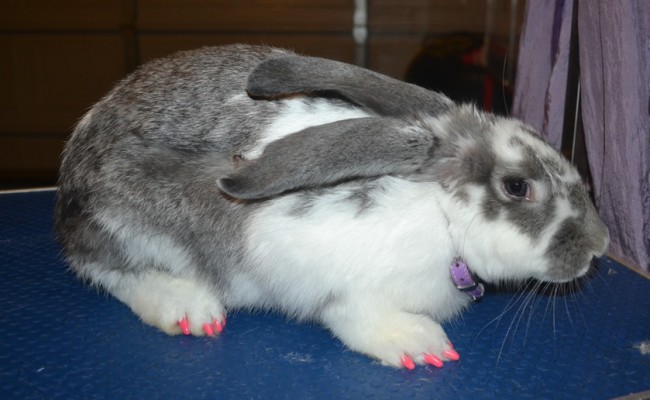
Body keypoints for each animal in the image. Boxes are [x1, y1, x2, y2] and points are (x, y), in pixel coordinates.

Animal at [55, 44, 610, 369]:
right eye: (517, 187)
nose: (600, 245)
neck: (443, 218)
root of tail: (70, 181)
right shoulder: (314, 267)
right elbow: (350, 313)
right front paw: (417, 343)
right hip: (126, 222)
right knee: (105, 269)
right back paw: (186, 306)